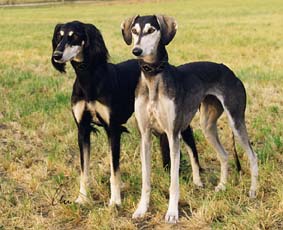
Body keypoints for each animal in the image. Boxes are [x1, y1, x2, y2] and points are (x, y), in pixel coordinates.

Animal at [51, 21, 202, 205]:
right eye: (59, 36)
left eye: (75, 36)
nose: (56, 55)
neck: (89, 79)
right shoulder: (83, 129)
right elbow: (83, 169)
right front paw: (82, 198)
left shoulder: (113, 130)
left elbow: (114, 170)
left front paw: (115, 201)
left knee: (191, 148)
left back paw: (196, 180)